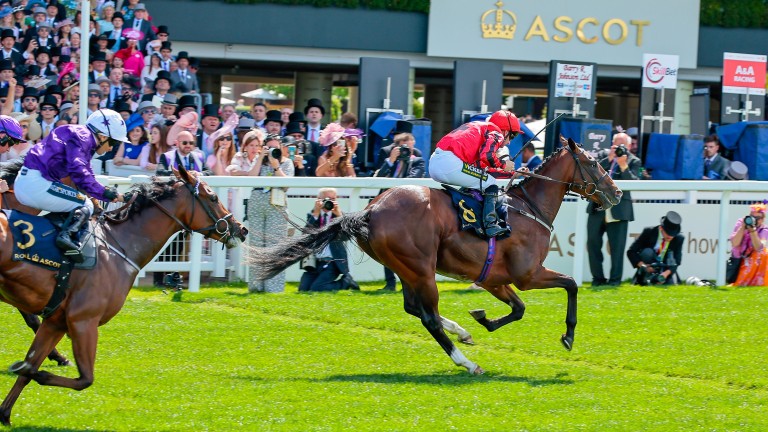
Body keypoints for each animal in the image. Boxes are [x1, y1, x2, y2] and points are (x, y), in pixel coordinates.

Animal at [0, 165, 248, 426]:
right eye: (213, 197)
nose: (241, 229)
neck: (118, 244)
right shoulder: (83, 321)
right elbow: (83, 379)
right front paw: (33, 371)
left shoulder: (56, 322)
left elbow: (30, 366)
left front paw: (6, 412)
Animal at [252, 138, 624, 374]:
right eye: (594, 163)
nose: (617, 193)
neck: (527, 208)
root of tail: (371, 210)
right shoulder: (528, 274)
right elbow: (571, 284)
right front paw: (568, 336)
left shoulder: (493, 279)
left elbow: (518, 309)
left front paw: (482, 318)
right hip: (420, 268)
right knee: (428, 317)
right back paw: (467, 363)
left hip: (406, 268)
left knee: (414, 308)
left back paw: (462, 332)